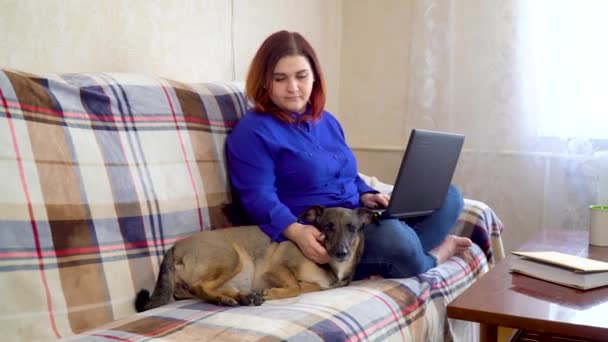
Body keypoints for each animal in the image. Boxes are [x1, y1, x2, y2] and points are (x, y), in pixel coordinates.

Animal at [135, 204, 376, 312]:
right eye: (328, 227)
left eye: (353, 228)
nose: (342, 253)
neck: (330, 266)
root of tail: (174, 247)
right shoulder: (275, 268)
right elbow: (295, 287)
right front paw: (271, 293)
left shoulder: (320, 285)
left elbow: (308, 286)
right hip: (232, 258)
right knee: (200, 286)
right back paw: (228, 299)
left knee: (193, 290)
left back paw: (242, 296)